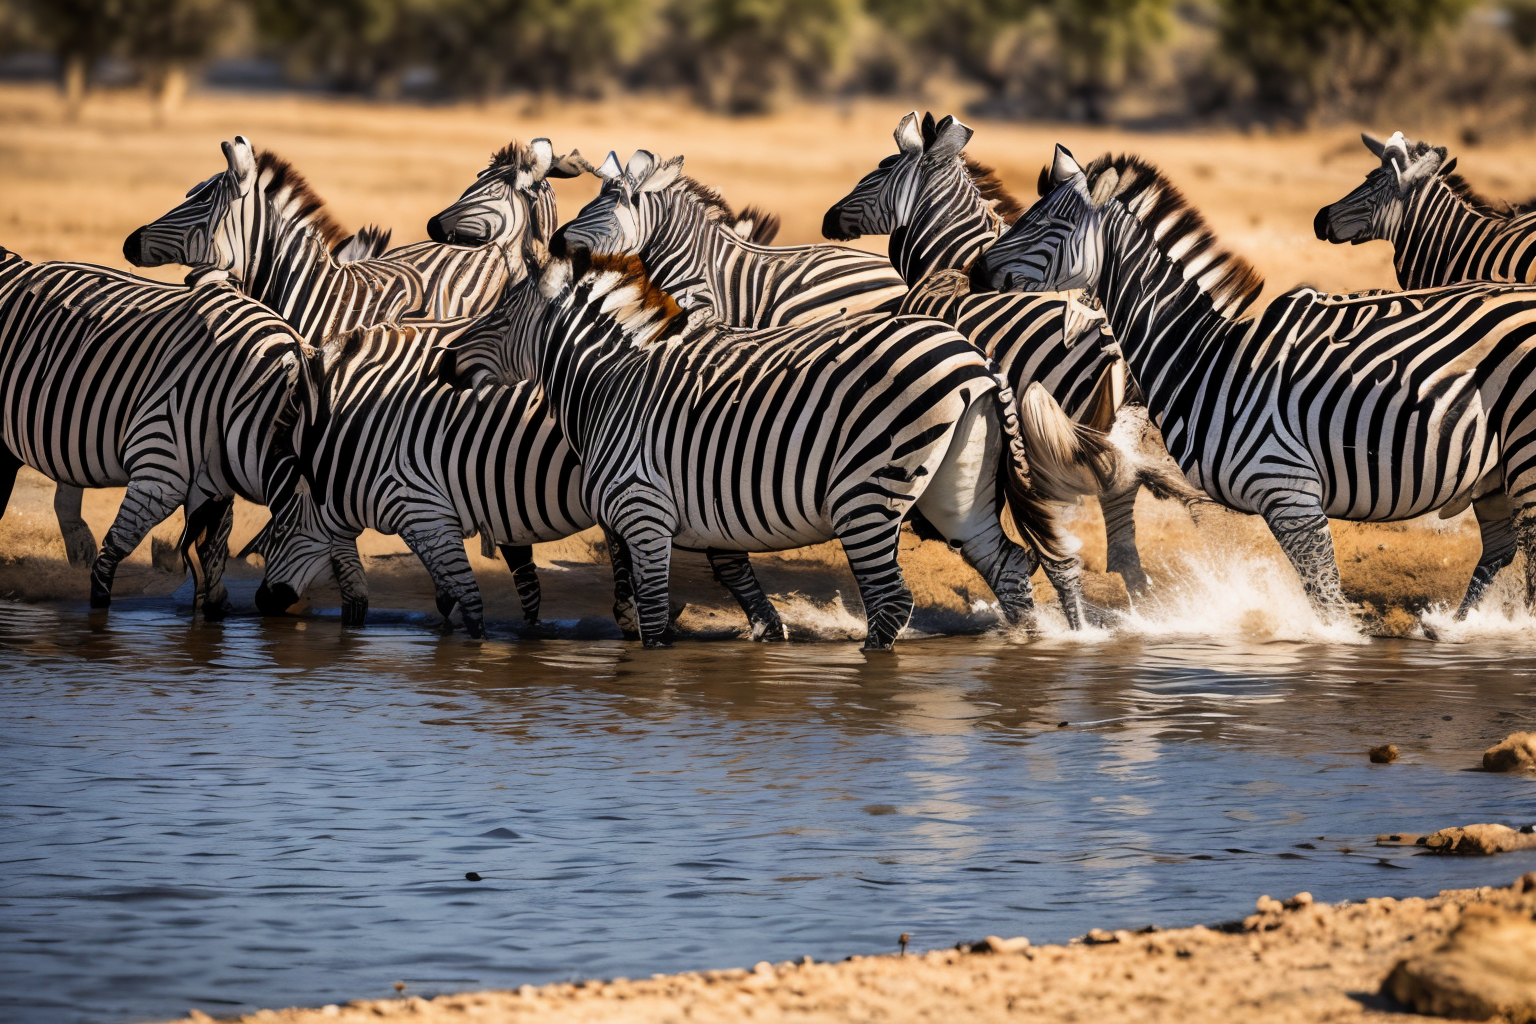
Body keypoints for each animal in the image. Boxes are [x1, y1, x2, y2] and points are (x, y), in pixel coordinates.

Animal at [0, 247, 307, 617]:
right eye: (281, 532)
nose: (272, 604)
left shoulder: (214, 482)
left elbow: (210, 548)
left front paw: (213, 607)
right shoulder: (163, 465)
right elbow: (120, 546)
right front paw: (99, 609)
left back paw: (79, 548)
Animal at [482, 249, 1109, 648]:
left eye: (496, 317)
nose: (455, 366)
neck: (608, 385)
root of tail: (977, 359)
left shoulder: (643, 508)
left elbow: (654, 613)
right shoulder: (701, 514)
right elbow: (730, 579)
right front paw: (769, 637)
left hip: (866, 492)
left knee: (891, 600)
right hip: (959, 487)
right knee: (1008, 566)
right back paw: (1026, 647)